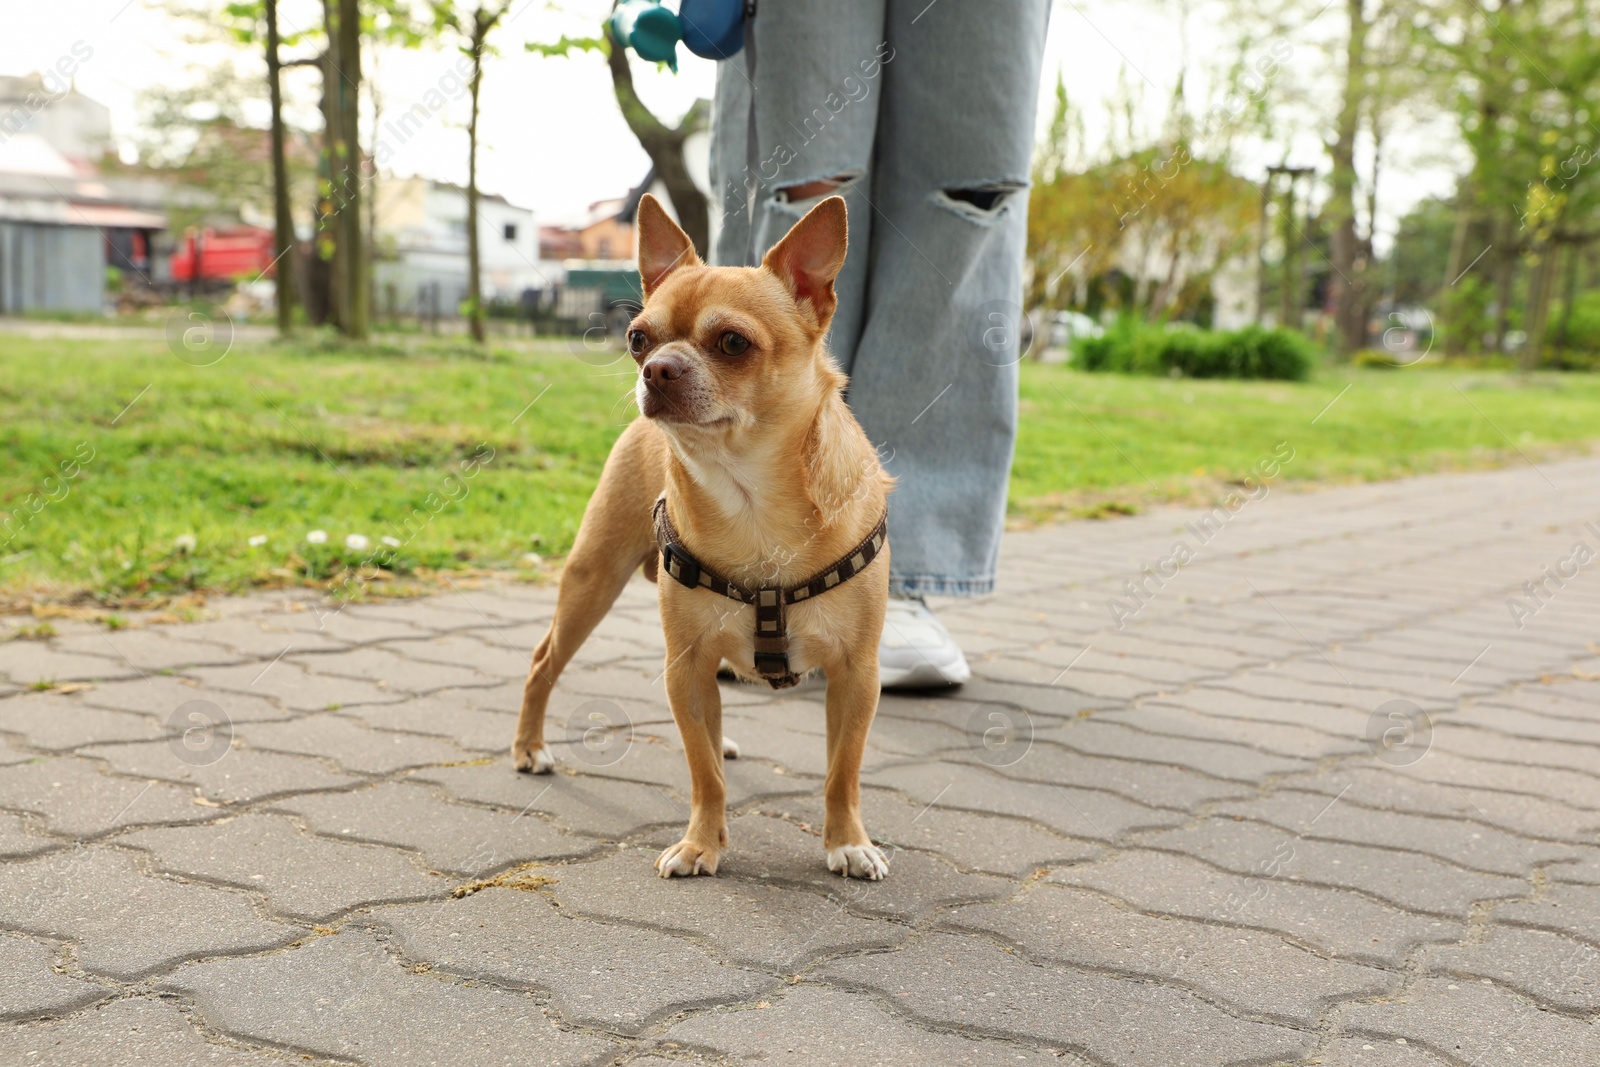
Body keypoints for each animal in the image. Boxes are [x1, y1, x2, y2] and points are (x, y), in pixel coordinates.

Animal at [508, 195, 896, 883]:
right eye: (637, 339)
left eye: (733, 343)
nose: (657, 369)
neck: (749, 500)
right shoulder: (683, 669)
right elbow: (702, 772)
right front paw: (700, 844)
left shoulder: (857, 675)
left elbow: (842, 771)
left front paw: (848, 841)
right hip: (592, 580)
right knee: (543, 661)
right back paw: (530, 746)